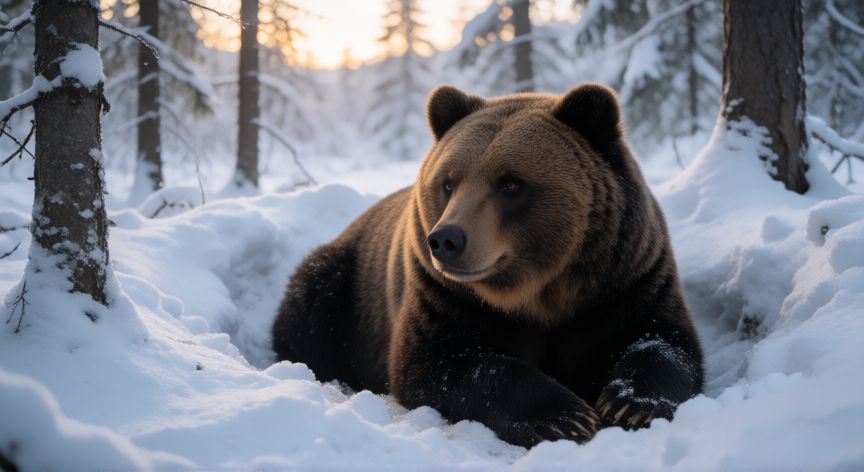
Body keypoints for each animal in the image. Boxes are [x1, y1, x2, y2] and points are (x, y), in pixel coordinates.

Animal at [271, 83, 704, 448]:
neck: (541, 290)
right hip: (345, 284)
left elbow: (663, 342)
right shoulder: (444, 296)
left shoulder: (626, 282)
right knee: (308, 313)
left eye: (511, 183)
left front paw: (630, 404)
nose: (446, 240)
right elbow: (443, 365)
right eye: (448, 182)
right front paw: (565, 415)